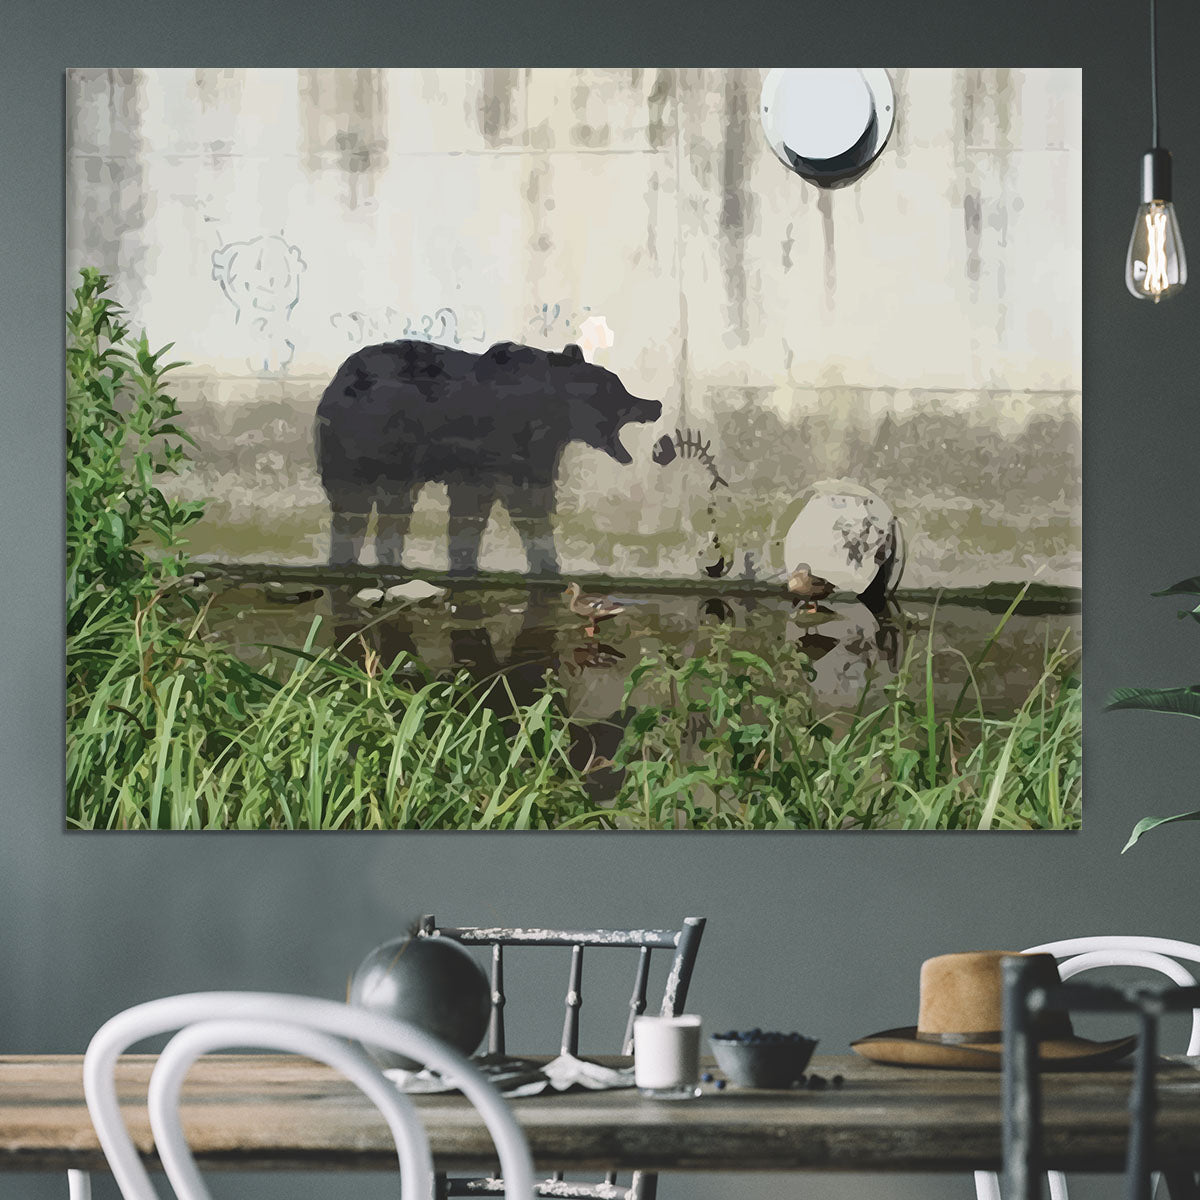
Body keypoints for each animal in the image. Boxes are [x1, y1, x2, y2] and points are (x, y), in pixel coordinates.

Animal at [314, 339, 662, 575]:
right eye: (620, 389)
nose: (655, 404)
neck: (554, 414)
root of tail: (333, 384)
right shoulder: (492, 451)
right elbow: (504, 506)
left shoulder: (526, 453)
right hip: (362, 444)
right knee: (352, 507)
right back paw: (346, 558)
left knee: (393, 510)